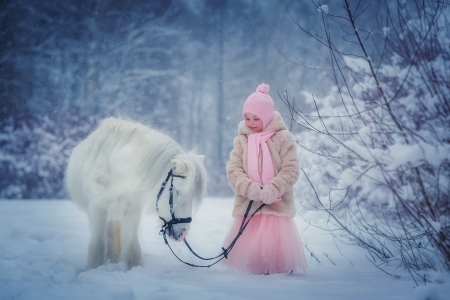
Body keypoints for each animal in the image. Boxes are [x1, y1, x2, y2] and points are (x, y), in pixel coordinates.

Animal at [65, 117, 207, 270]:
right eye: (177, 191)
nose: (183, 233)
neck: (116, 169)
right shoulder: (97, 211)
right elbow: (98, 245)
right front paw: (94, 268)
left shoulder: (131, 211)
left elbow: (132, 247)